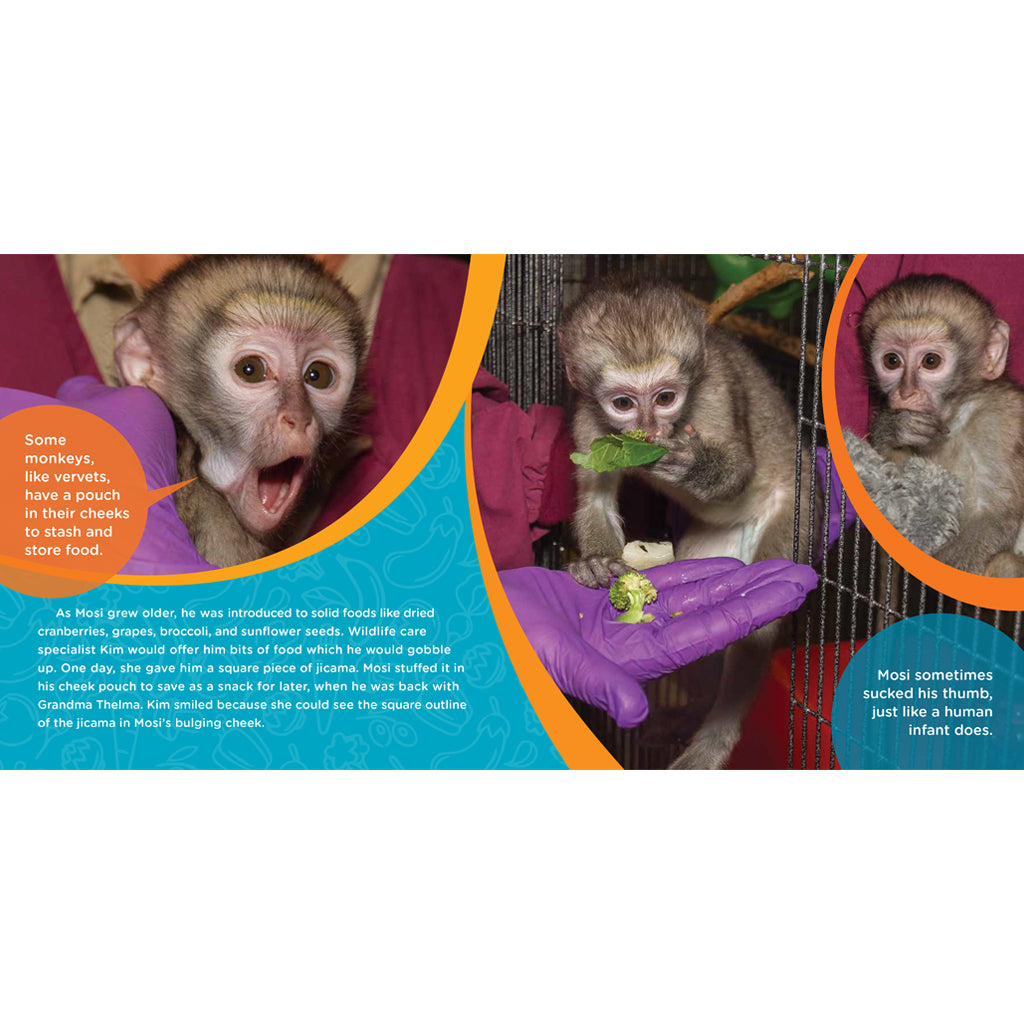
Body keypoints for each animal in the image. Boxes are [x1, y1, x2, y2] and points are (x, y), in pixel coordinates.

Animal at [559, 277, 814, 770]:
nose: (652, 431)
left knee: (762, 617)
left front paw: (692, 467)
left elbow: (739, 471)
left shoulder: (716, 391)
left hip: (796, 511)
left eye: (665, 398)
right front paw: (597, 564)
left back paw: (715, 738)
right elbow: (595, 497)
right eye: (624, 403)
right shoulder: (587, 415)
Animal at [858, 273, 1024, 577]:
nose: (906, 393)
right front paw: (894, 427)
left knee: (1004, 565)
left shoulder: (1000, 419)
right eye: (891, 361)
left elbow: (993, 517)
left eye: (931, 361)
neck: (954, 418)